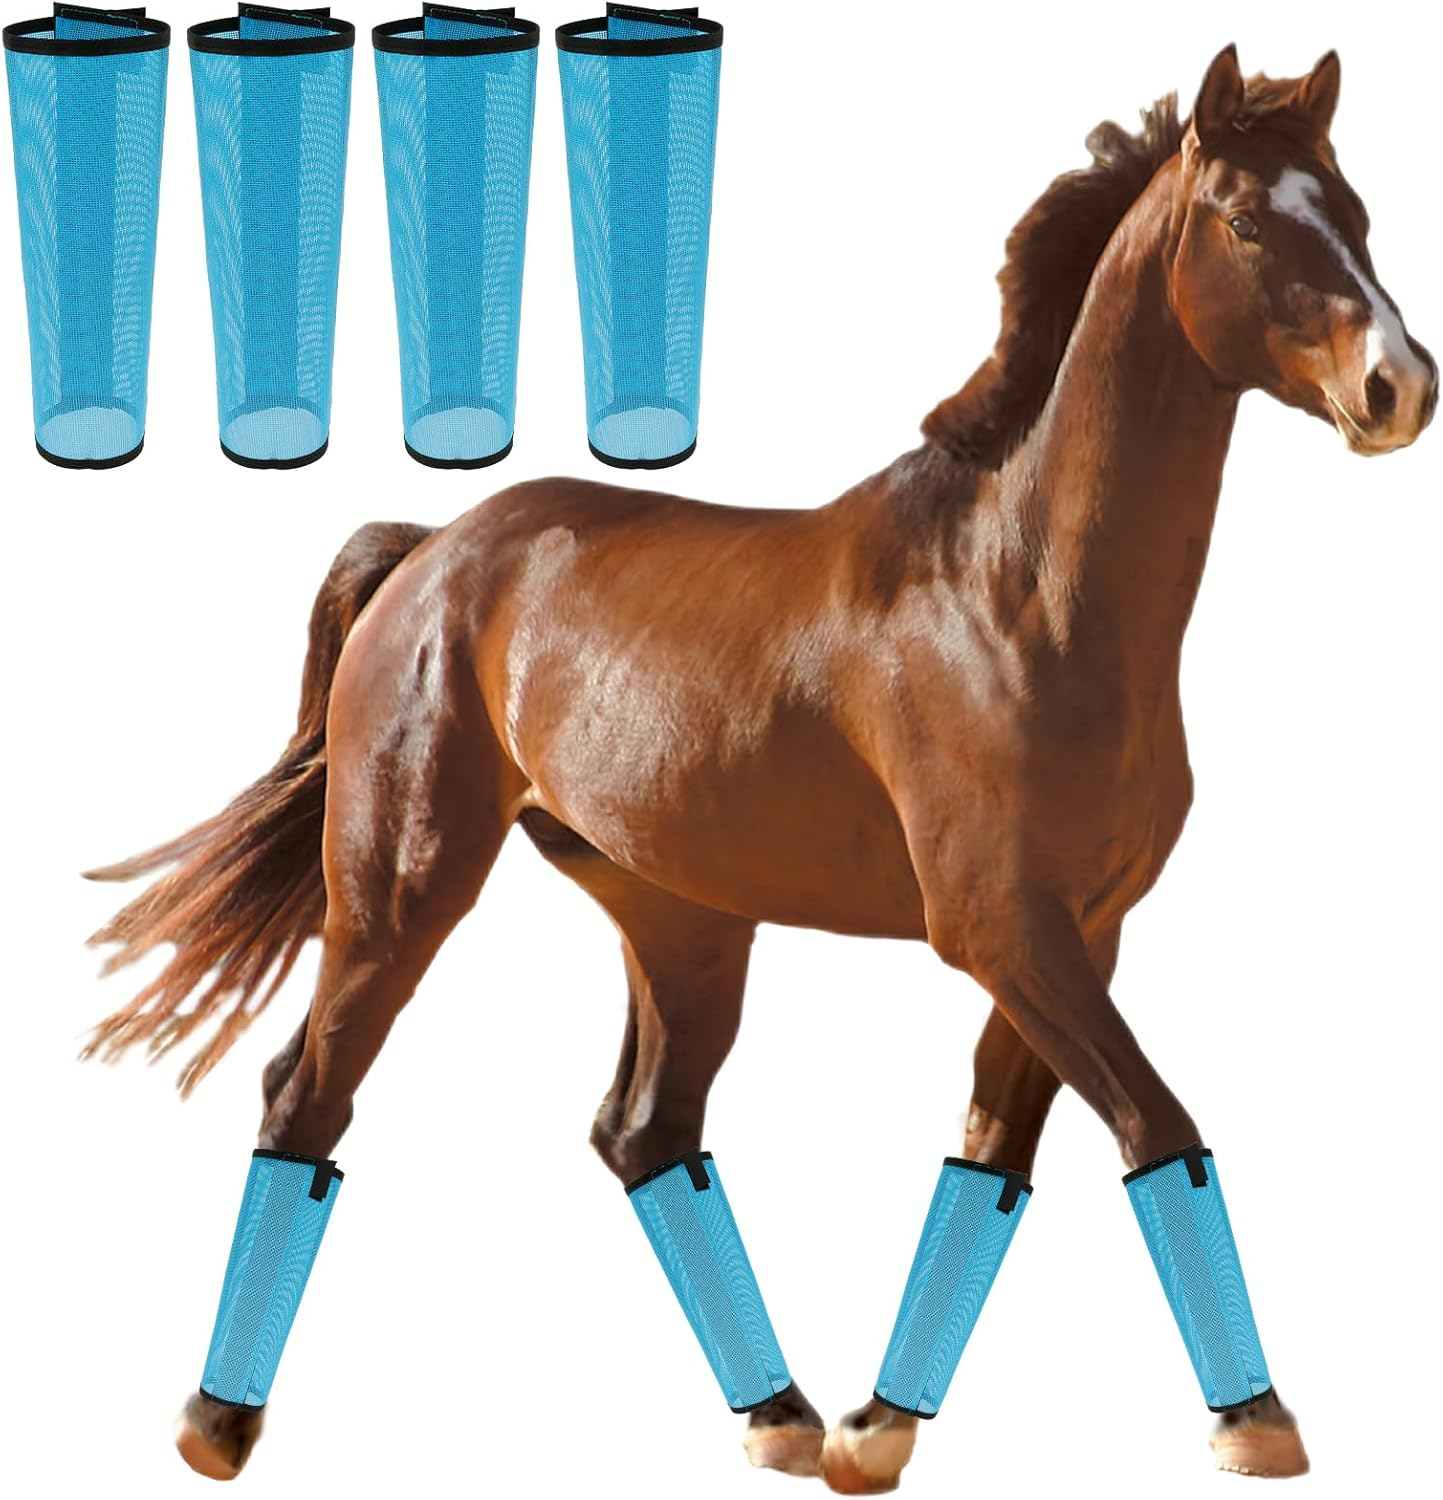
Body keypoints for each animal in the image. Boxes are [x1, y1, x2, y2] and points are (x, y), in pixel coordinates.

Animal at [83, 43, 1435, 1491]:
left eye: (1355, 212)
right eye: (1245, 223)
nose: (1398, 387)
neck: (1019, 595)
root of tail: (434, 549)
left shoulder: (1078, 935)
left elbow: (994, 1155)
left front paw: (873, 1432)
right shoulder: (1003, 930)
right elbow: (1154, 1126)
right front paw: (1256, 1420)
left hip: (681, 922)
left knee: (645, 1132)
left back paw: (782, 1415)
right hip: (400, 893)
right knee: (309, 1095)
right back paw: (215, 1424)